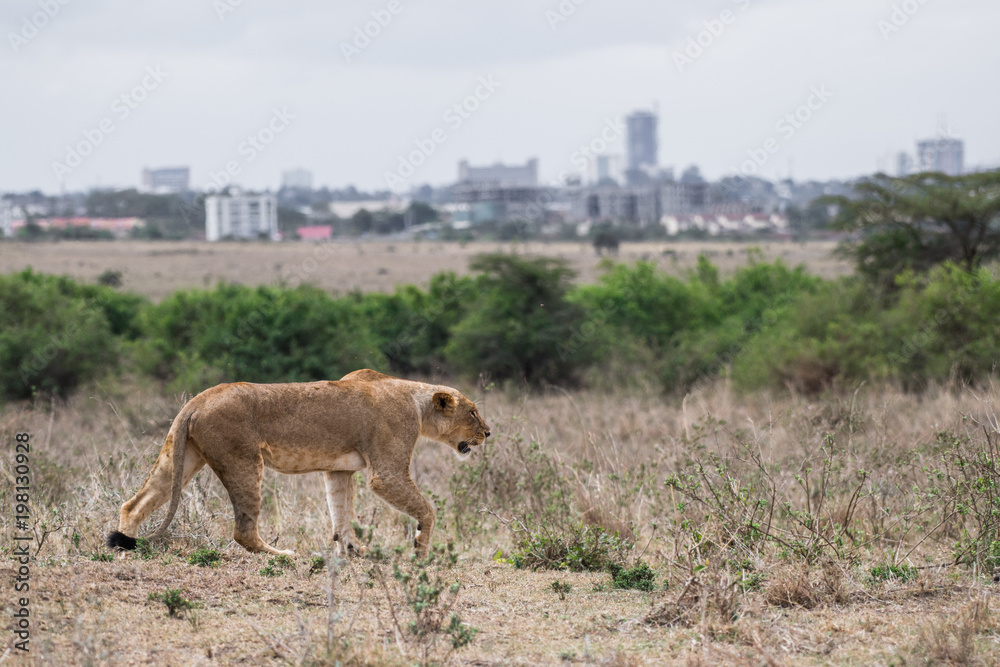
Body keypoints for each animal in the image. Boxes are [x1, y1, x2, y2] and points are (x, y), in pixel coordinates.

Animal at [106, 369, 490, 558]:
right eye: (472, 412)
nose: (488, 432)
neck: (417, 403)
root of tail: (198, 399)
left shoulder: (338, 469)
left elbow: (341, 513)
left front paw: (353, 550)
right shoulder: (386, 473)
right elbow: (428, 510)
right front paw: (420, 549)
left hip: (181, 458)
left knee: (134, 503)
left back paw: (124, 546)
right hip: (244, 461)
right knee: (243, 532)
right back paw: (283, 554)